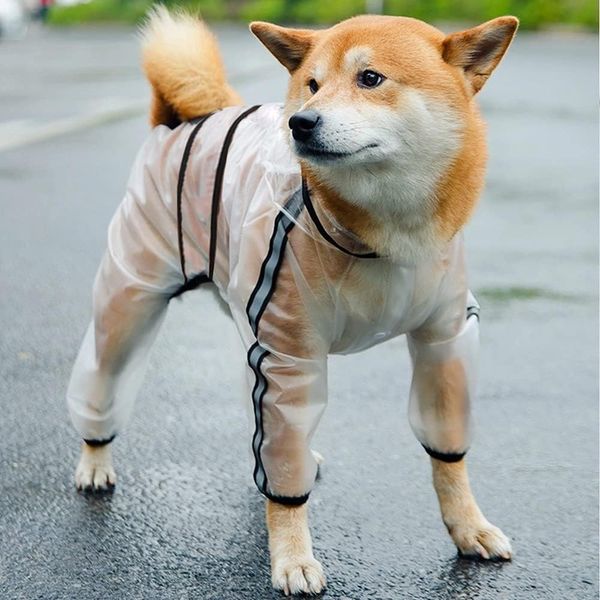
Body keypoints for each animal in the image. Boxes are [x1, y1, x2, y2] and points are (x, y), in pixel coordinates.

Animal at [70, 8, 516, 596]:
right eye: (312, 84)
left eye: (370, 78)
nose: (299, 123)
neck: (384, 236)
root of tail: (183, 120)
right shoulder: (293, 356)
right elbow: (285, 492)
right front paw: (291, 556)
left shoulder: (444, 340)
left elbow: (449, 458)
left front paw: (469, 527)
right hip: (129, 304)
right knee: (104, 376)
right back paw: (94, 459)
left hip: (247, 318)